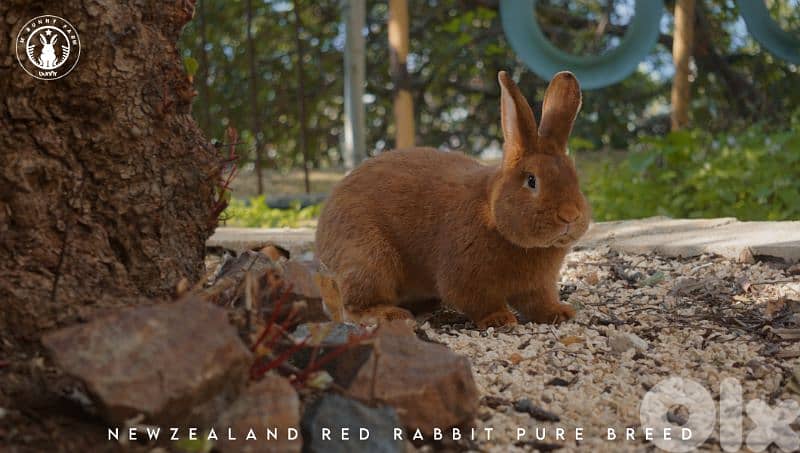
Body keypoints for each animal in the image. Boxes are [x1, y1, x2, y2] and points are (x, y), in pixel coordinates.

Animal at [315, 71, 590, 329]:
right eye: (532, 180)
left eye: (575, 177)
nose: (570, 215)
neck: (492, 214)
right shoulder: (466, 277)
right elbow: (478, 301)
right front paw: (500, 319)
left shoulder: (537, 286)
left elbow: (539, 303)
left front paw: (561, 313)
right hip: (368, 259)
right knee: (354, 305)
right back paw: (391, 314)